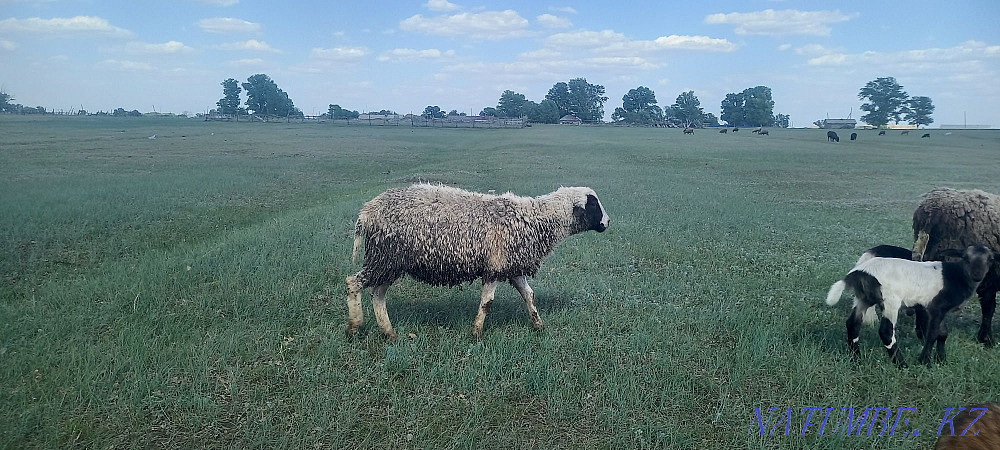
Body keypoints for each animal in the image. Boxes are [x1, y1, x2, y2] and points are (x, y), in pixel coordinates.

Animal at [346, 183, 610, 339]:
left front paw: (538, 325)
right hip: (385, 257)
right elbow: (487, 302)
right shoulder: (494, 267)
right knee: (353, 283)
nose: (607, 223)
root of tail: (367, 212)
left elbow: (529, 295)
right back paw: (355, 326)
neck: (534, 220)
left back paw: (388, 332)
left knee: (377, 294)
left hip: (389, 262)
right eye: (593, 204)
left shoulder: (512, 266)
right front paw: (476, 332)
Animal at [826, 245, 996, 367]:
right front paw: (925, 361)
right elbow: (933, 334)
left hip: (863, 298)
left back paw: (856, 358)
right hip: (890, 300)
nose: (977, 275)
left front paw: (942, 360)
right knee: (886, 331)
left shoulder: (939, 310)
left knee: (853, 323)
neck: (957, 276)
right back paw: (901, 364)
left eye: (990, 259)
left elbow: (943, 333)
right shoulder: (936, 307)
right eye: (966, 258)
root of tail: (860, 272)